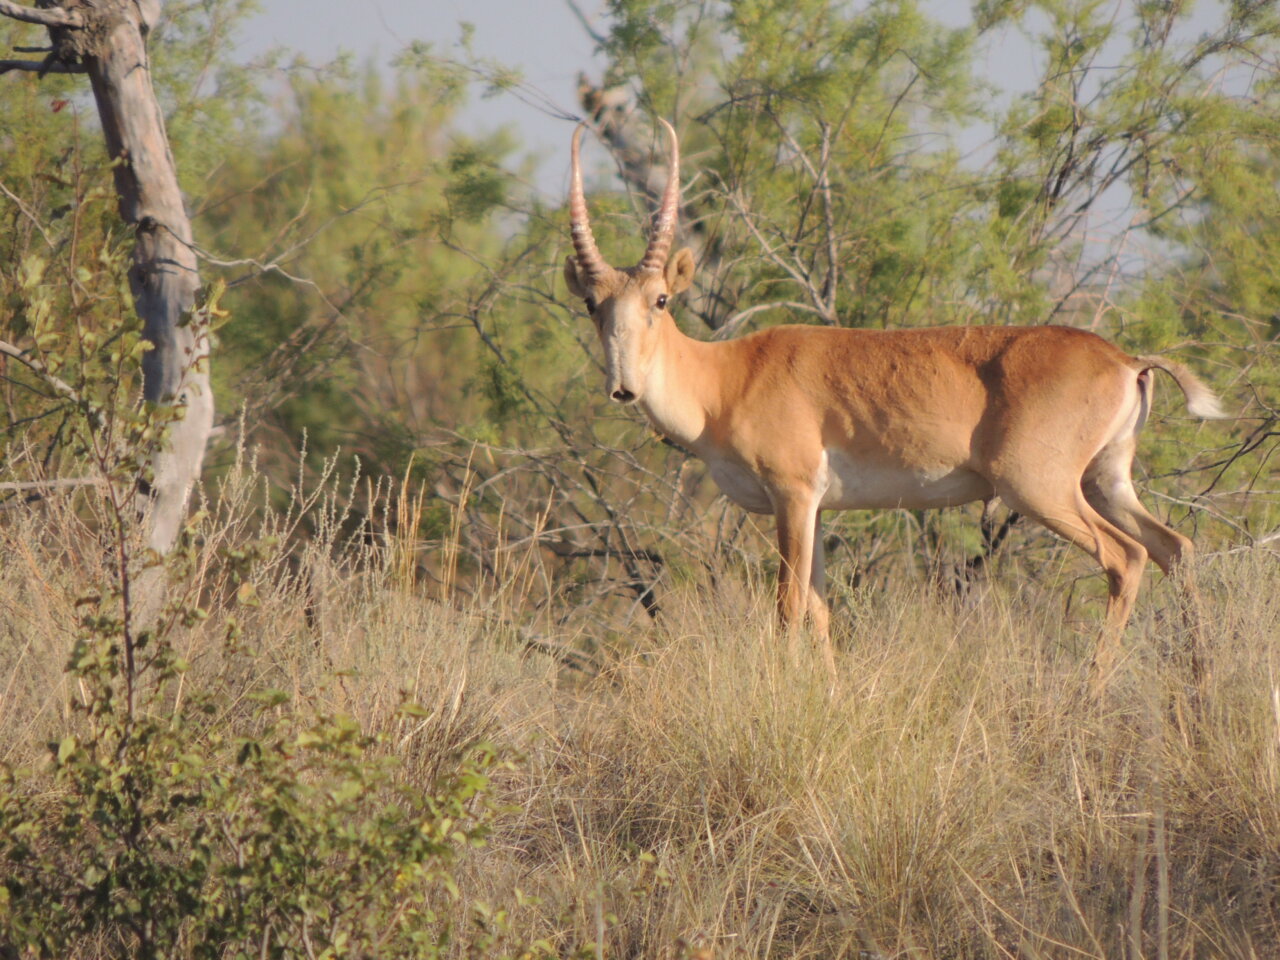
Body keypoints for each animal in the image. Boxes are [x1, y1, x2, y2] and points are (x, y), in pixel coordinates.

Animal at [565, 120, 1223, 691]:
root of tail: (1126, 361)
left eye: (661, 299)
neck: (728, 377)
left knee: (1127, 558)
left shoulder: (792, 496)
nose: (623, 387)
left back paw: (1090, 696)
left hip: (1040, 489)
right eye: (593, 303)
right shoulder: (817, 508)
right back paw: (1197, 688)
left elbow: (787, 606)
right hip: (1105, 481)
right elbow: (819, 609)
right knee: (1176, 549)